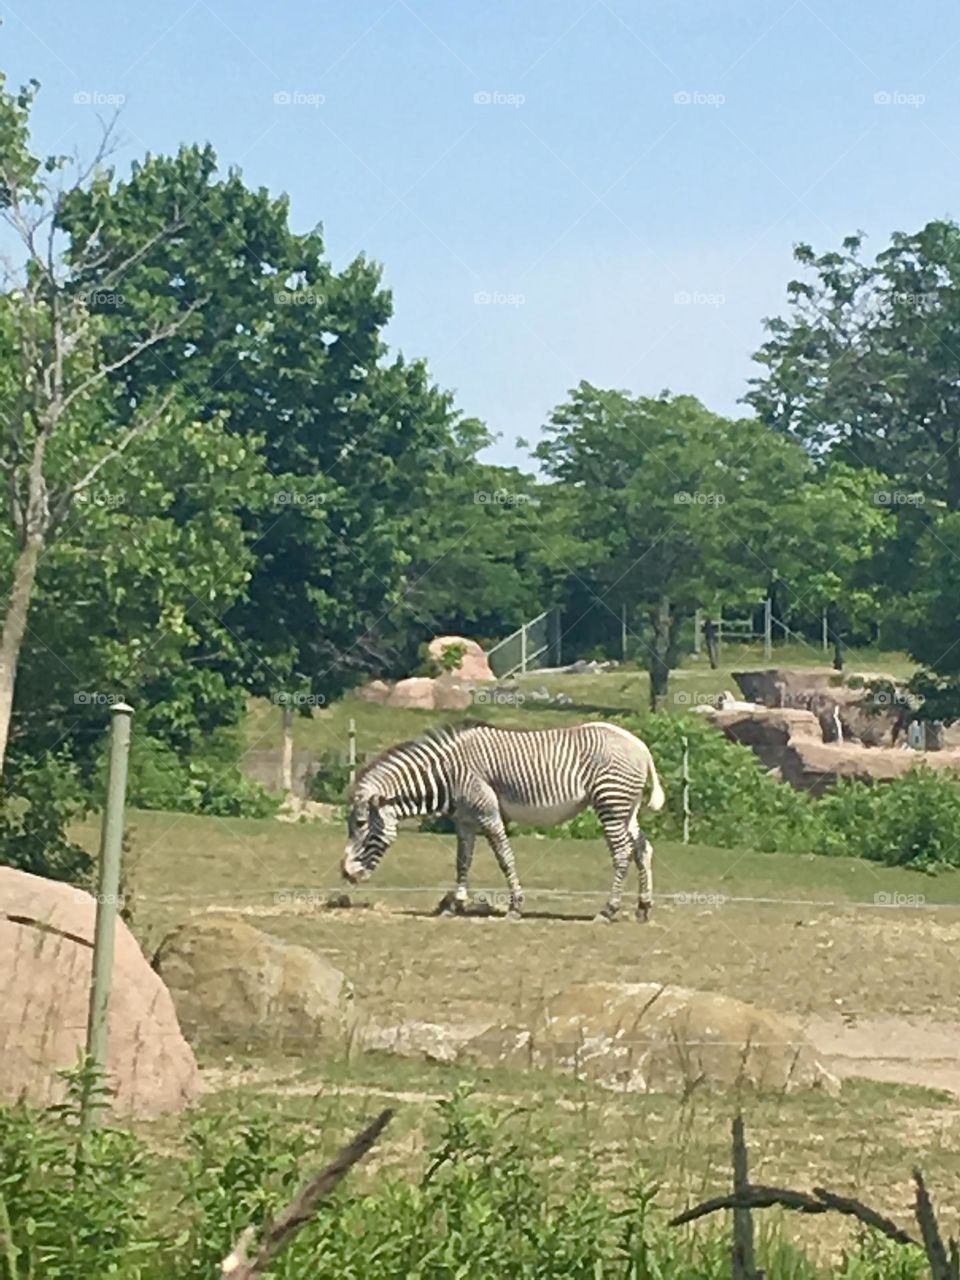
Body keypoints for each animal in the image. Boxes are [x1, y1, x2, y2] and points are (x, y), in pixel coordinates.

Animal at [340, 720, 665, 922]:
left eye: (360, 824)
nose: (345, 873)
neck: (448, 773)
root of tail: (641, 745)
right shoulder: (465, 820)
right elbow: (463, 861)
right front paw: (455, 905)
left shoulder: (488, 813)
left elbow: (504, 857)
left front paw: (515, 906)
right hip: (626, 808)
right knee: (642, 849)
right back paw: (643, 908)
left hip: (610, 803)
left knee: (622, 852)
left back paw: (608, 910)